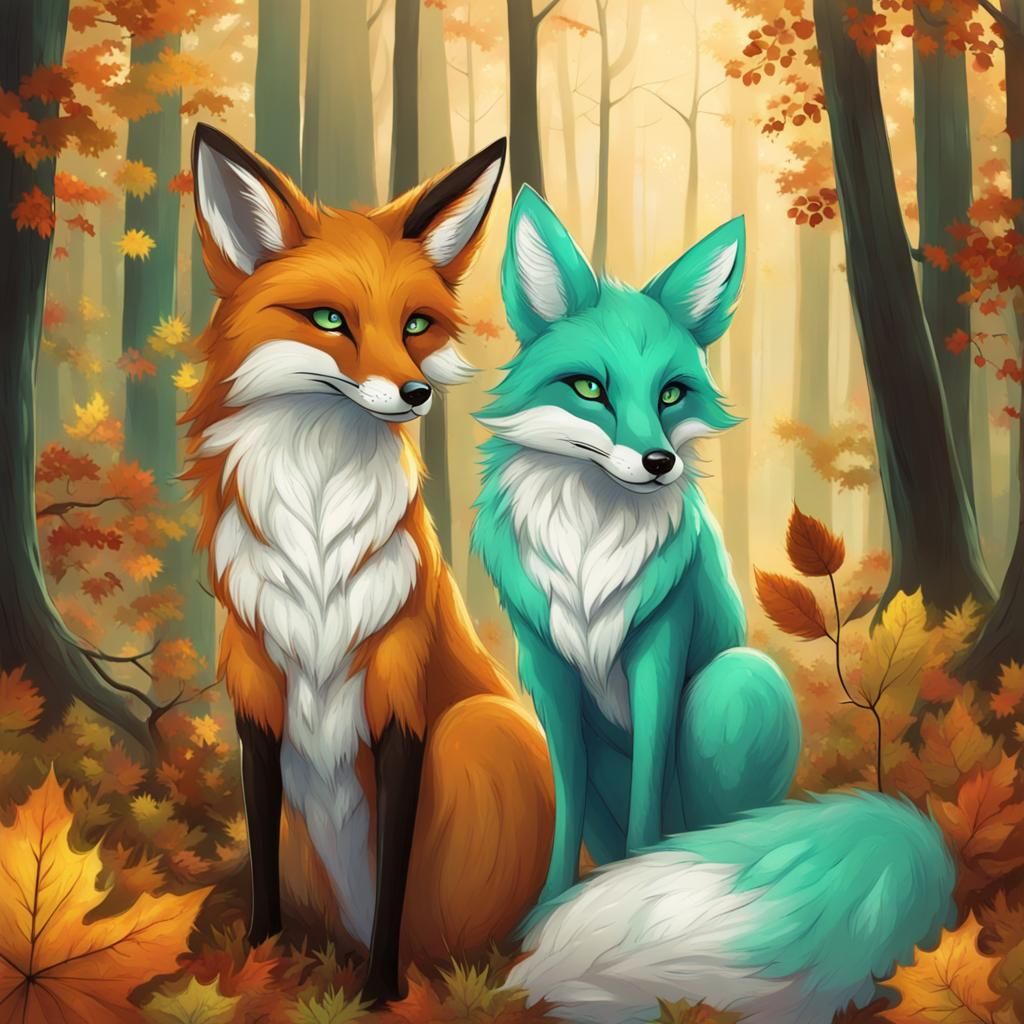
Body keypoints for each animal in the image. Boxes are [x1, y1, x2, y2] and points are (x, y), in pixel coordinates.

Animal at [183, 125, 553, 1004]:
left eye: (416, 324)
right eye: (329, 319)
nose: (416, 393)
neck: (318, 534)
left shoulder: (402, 704)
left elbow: (393, 877)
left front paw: (380, 994)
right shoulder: (258, 701)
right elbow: (260, 861)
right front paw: (260, 962)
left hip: (478, 727)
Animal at [473, 186, 956, 1023]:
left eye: (671, 393)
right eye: (589, 388)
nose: (659, 461)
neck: (589, 544)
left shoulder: (658, 650)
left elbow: (645, 807)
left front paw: (603, 897)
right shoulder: (547, 670)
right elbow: (563, 814)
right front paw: (542, 915)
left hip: (736, 680)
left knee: (696, 823)